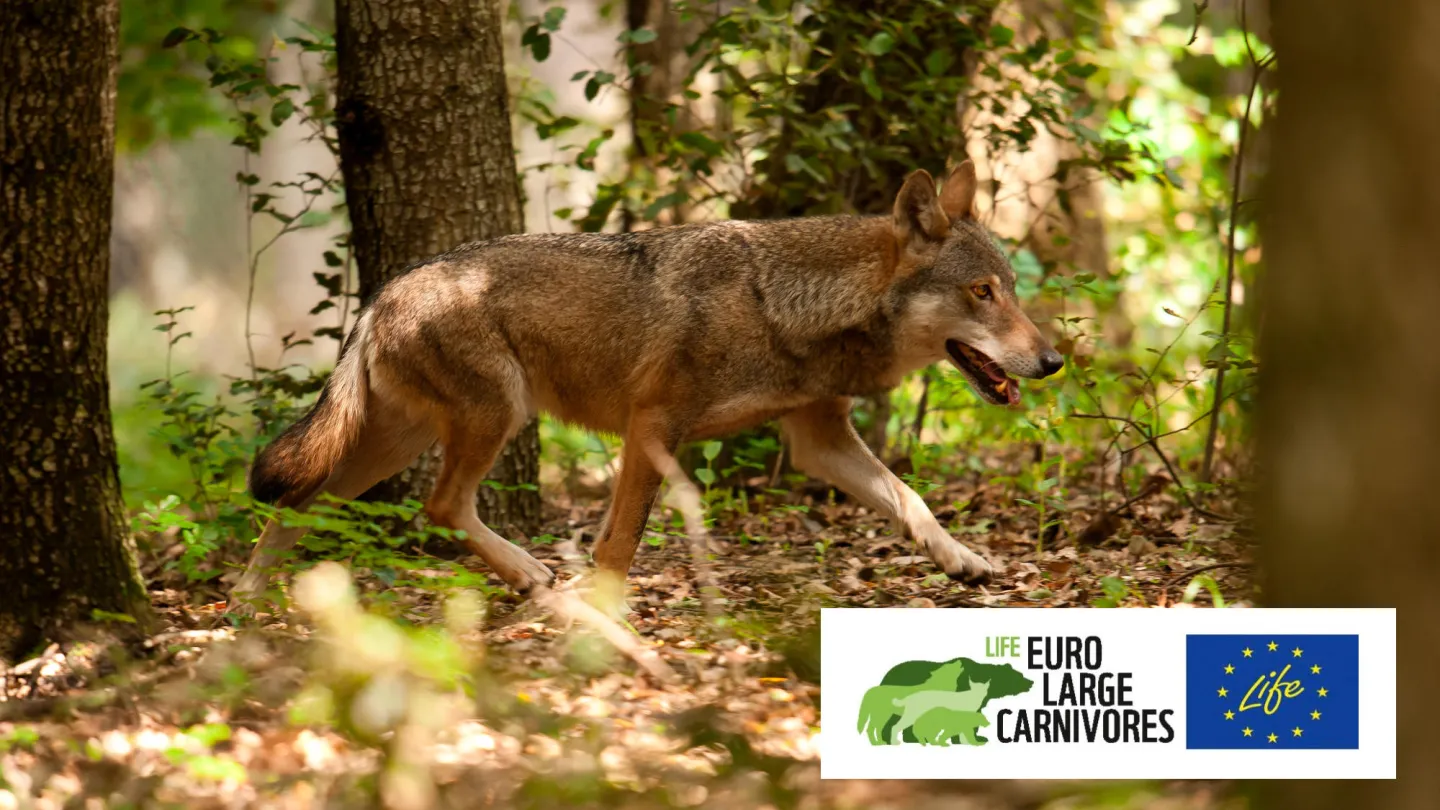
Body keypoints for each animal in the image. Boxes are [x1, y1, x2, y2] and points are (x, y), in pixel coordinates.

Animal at [229, 160, 1063, 609]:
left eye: (1015, 289)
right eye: (982, 293)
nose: (1054, 361)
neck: (788, 303)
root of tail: (383, 291)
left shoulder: (817, 440)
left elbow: (910, 498)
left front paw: (961, 559)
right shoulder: (653, 427)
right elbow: (620, 541)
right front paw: (609, 620)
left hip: (393, 445)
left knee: (303, 502)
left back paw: (246, 603)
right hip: (494, 417)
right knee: (437, 507)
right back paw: (530, 574)